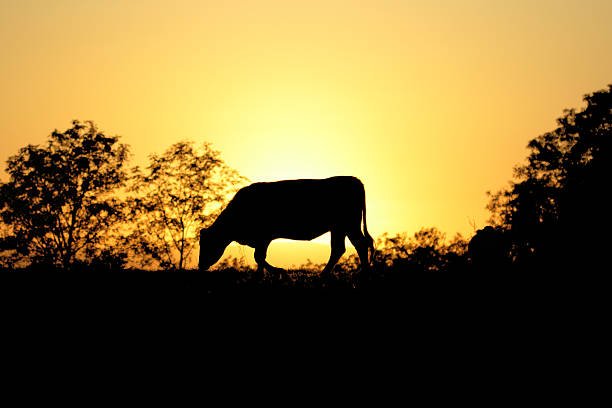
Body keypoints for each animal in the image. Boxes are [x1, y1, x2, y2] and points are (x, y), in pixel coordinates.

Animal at [198, 176, 376, 276]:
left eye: (208, 244)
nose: (200, 266)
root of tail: (355, 180)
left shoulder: (264, 236)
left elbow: (259, 257)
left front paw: (279, 272)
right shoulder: (261, 239)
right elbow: (259, 259)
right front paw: (260, 276)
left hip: (349, 224)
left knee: (359, 244)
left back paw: (362, 274)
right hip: (340, 228)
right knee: (341, 248)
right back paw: (326, 275)